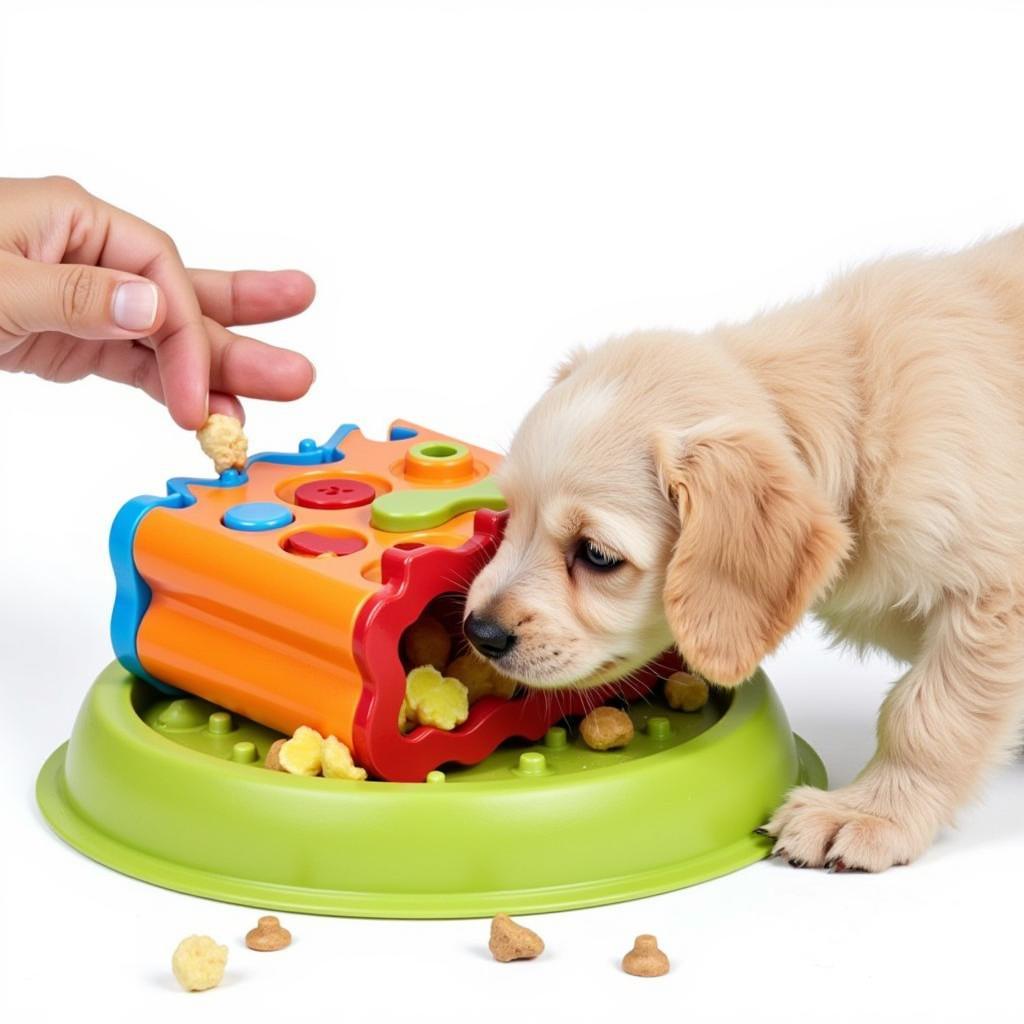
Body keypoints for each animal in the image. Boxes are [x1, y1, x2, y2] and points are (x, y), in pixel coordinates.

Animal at [466, 230, 1024, 872]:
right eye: (511, 517)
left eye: (597, 555)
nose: (479, 633)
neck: (862, 412)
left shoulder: (993, 598)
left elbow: (929, 713)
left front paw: (871, 813)